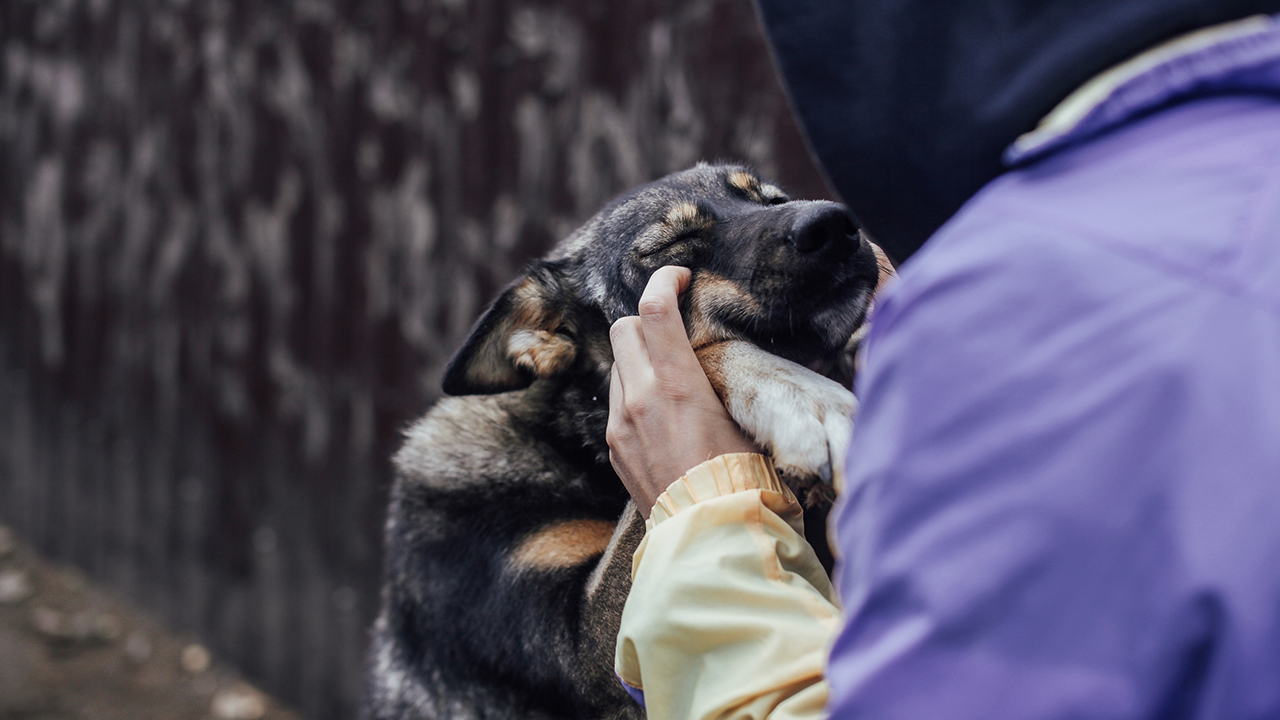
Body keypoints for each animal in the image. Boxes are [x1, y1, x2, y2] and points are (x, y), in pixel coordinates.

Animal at [363, 162, 890, 717]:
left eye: (773, 200)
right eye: (675, 243)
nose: (836, 224)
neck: (572, 441)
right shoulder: (588, 651)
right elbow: (701, 349)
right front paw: (802, 396)